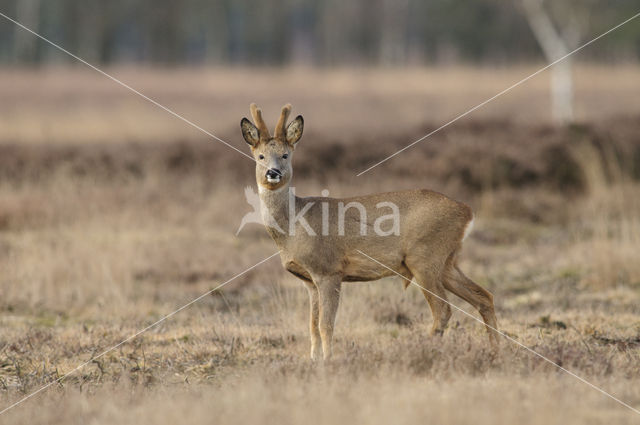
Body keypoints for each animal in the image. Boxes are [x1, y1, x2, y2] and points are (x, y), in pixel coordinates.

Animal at [242, 102, 498, 358]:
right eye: (260, 156)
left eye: (285, 155)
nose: (273, 173)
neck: (294, 226)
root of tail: (466, 211)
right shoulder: (309, 281)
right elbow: (312, 326)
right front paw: (314, 360)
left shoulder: (329, 270)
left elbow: (326, 325)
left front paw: (328, 361)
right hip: (447, 262)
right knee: (484, 296)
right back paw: (497, 350)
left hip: (425, 257)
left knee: (443, 309)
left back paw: (424, 350)